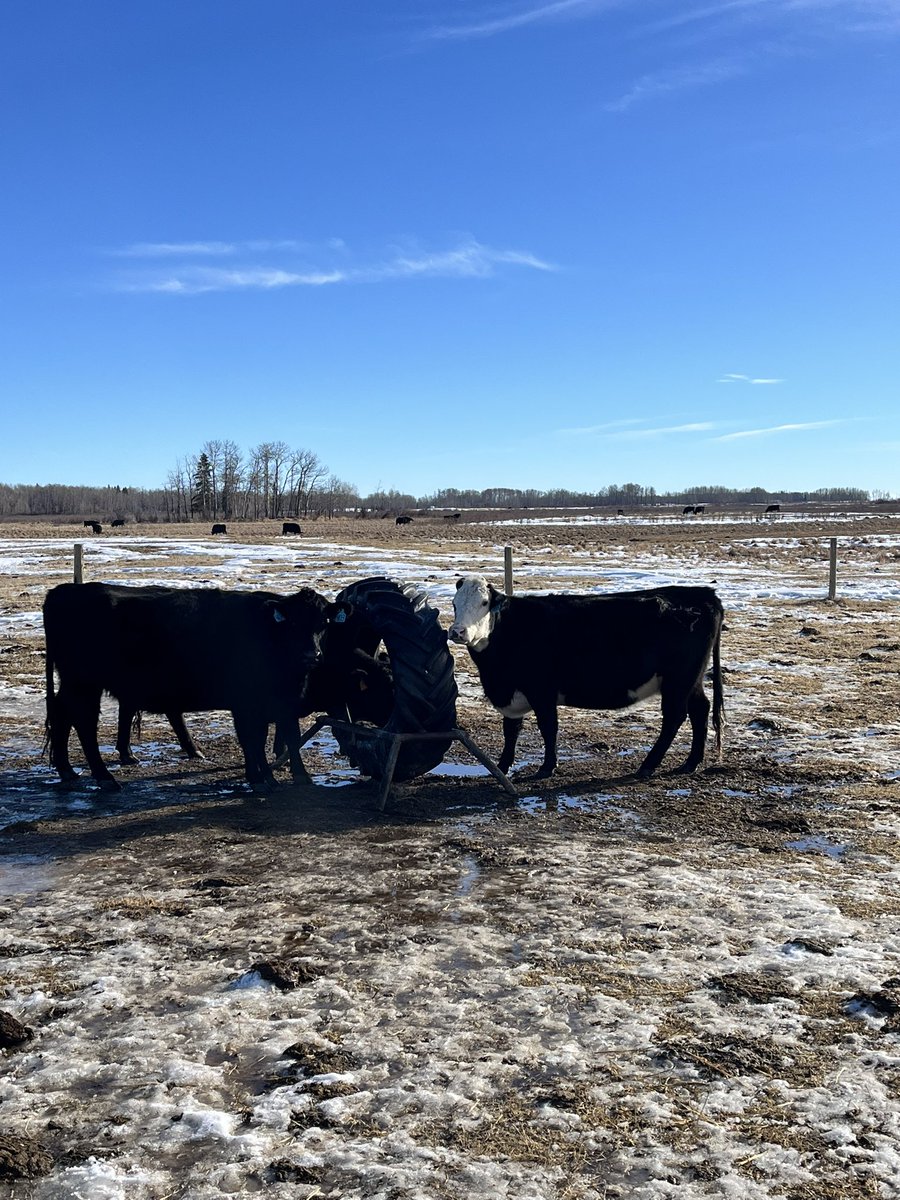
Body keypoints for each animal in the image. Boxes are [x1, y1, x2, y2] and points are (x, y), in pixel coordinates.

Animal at [43, 582, 351, 792]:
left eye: (323, 623)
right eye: (293, 623)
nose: (311, 655)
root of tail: (65, 590)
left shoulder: (281, 699)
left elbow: (286, 734)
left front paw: (297, 776)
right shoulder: (245, 702)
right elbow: (252, 739)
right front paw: (260, 778)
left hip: (73, 684)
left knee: (62, 715)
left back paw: (67, 770)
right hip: (84, 683)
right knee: (83, 722)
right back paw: (104, 777)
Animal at [449, 575, 724, 780]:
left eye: (484, 602)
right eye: (454, 604)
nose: (457, 632)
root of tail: (703, 594)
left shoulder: (542, 690)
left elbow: (548, 727)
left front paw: (547, 767)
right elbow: (510, 730)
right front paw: (501, 767)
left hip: (678, 680)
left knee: (674, 717)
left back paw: (648, 765)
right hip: (692, 680)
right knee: (700, 709)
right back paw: (690, 763)